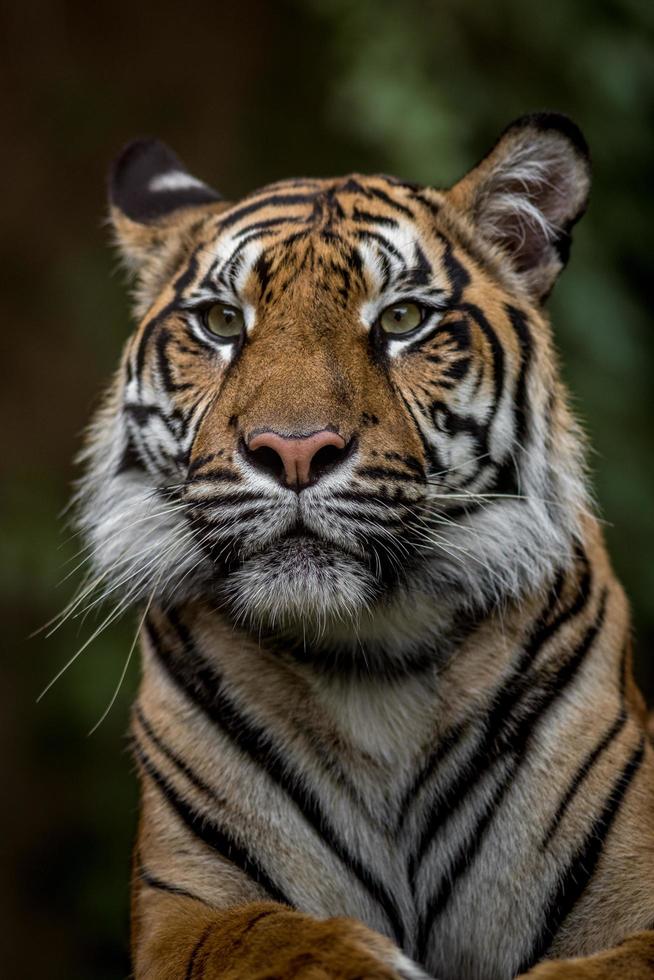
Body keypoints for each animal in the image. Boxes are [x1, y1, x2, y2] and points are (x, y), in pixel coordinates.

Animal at [73, 117, 654, 980]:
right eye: (222, 323)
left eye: (402, 318)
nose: (293, 449)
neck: (373, 661)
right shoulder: (183, 908)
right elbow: (263, 937)